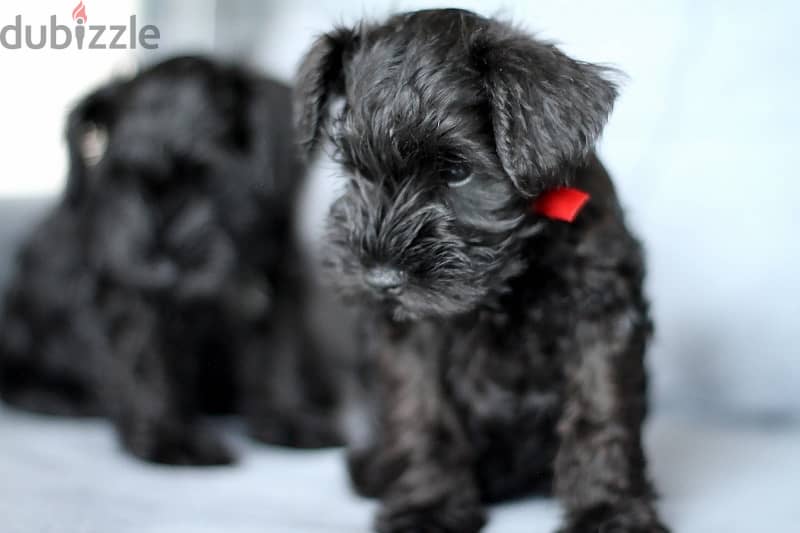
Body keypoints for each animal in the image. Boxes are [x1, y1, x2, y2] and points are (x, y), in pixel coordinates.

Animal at [0, 56, 340, 464]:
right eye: (124, 177)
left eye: (208, 175)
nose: (161, 266)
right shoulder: (132, 299)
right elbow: (148, 367)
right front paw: (172, 439)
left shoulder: (277, 289)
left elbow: (275, 361)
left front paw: (288, 420)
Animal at [294, 8, 668, 532]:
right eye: (356, 171)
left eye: (456, 172)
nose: (381, 280)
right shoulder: (413, 339)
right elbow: (422, 414)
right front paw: (427, 506)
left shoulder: (601, 315)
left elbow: (600, 412)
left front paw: (609, 510)